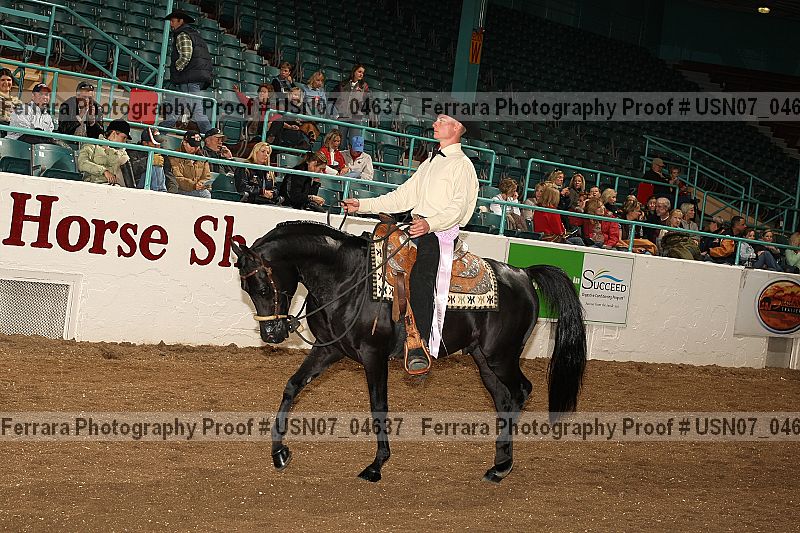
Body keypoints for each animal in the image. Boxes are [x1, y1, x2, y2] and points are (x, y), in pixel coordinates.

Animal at [231, 220, 587, 482]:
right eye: (245, 288)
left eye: (263, 286)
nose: (272, 334)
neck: (348, 279)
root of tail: (523, 274)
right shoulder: (329, 348)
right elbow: (292, 386)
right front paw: (279, 452)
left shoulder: (373, 356)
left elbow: (378, 407)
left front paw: (376, 465)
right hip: (484, 359)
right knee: (503, 398)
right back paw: (499, 463)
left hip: (502, 356)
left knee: (520, 391)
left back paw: (503, 465)